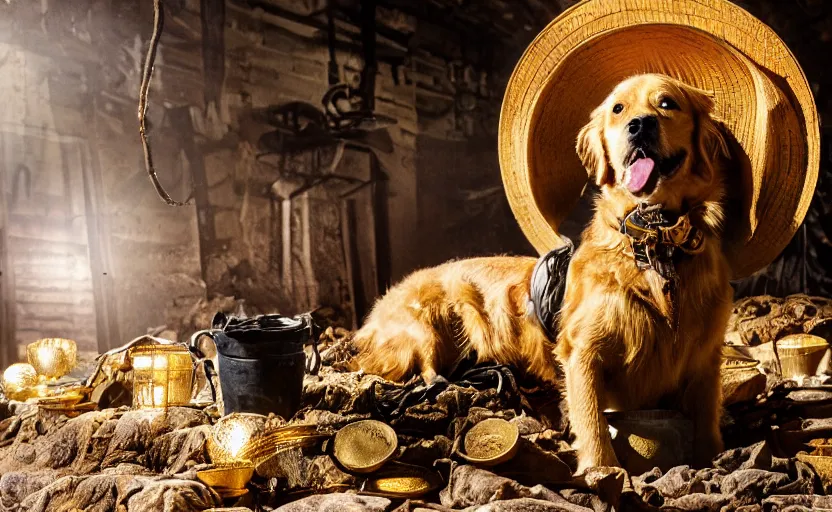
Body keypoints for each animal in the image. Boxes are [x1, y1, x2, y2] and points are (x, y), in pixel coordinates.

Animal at [354, 75, 732, 472]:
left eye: (667, 103)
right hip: (425, 329)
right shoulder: (582, 352)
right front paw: (601, 469)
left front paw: (714, 456)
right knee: (427, 375)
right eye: (618, 109)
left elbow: (707, 417)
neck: (654, 245)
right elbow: (592, 421)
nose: (640, 125)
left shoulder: (706, 357)